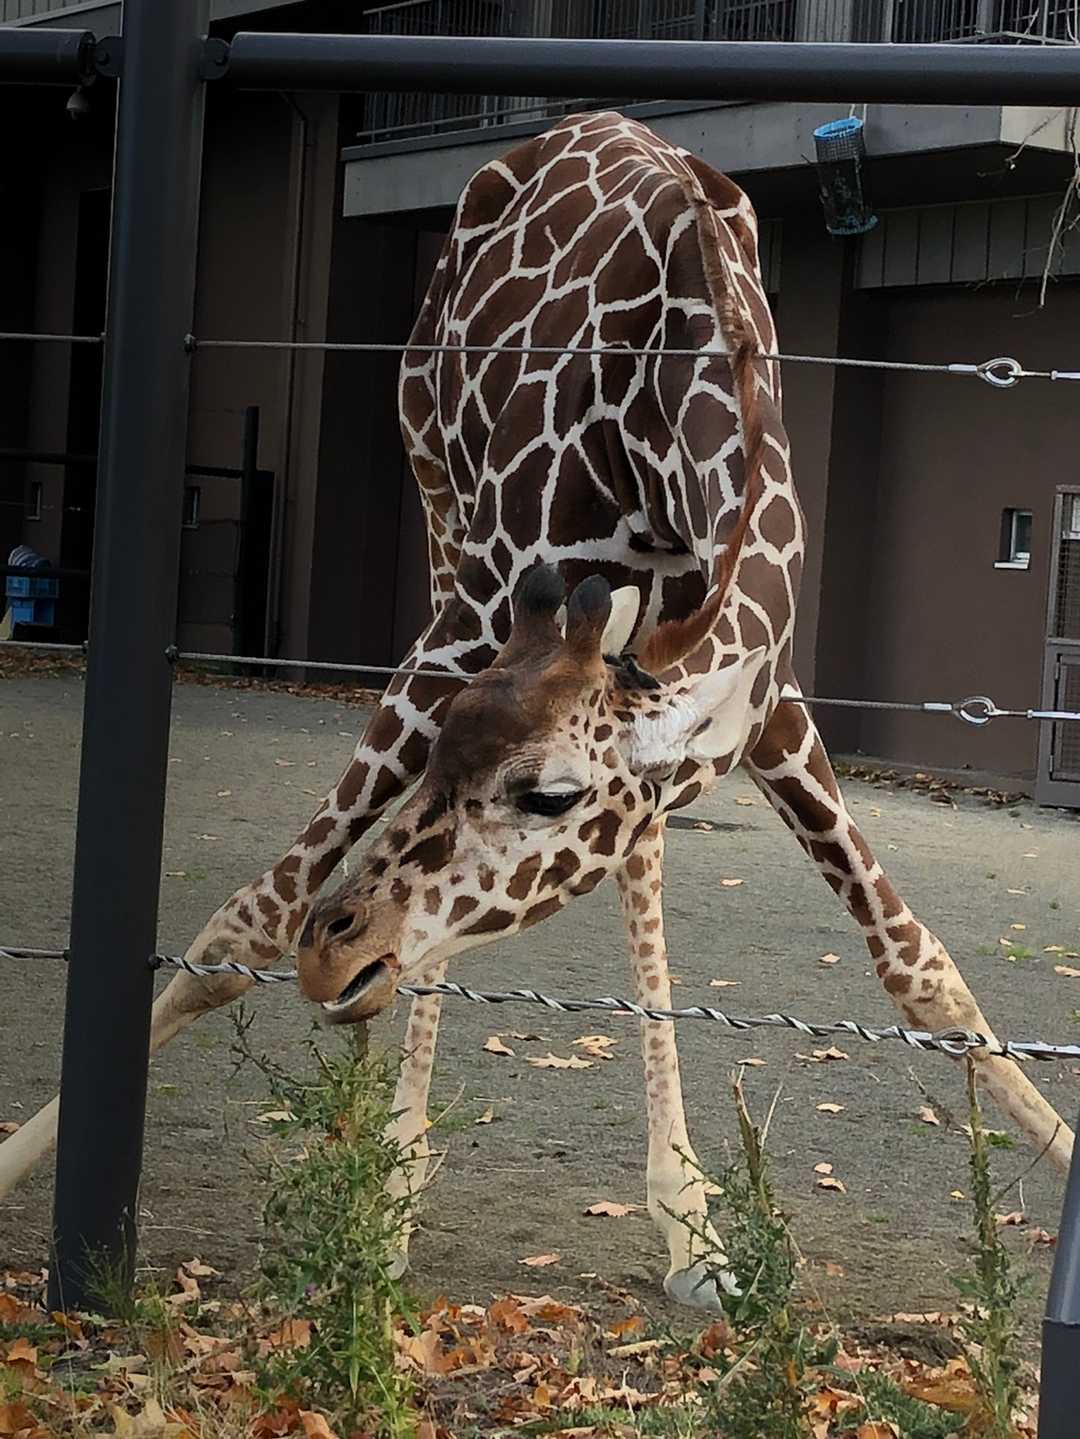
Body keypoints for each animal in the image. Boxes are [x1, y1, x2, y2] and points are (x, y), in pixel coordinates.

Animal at [1, 113, 1071, 1305]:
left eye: (549, 794)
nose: (334, 953)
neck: (678, 365)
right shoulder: (479, 615)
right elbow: (247, 920)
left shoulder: (755, 686)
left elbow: (918, 968)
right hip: (437, 499)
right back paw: (398, 1174)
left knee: (637, 858)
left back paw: (660, 1213)